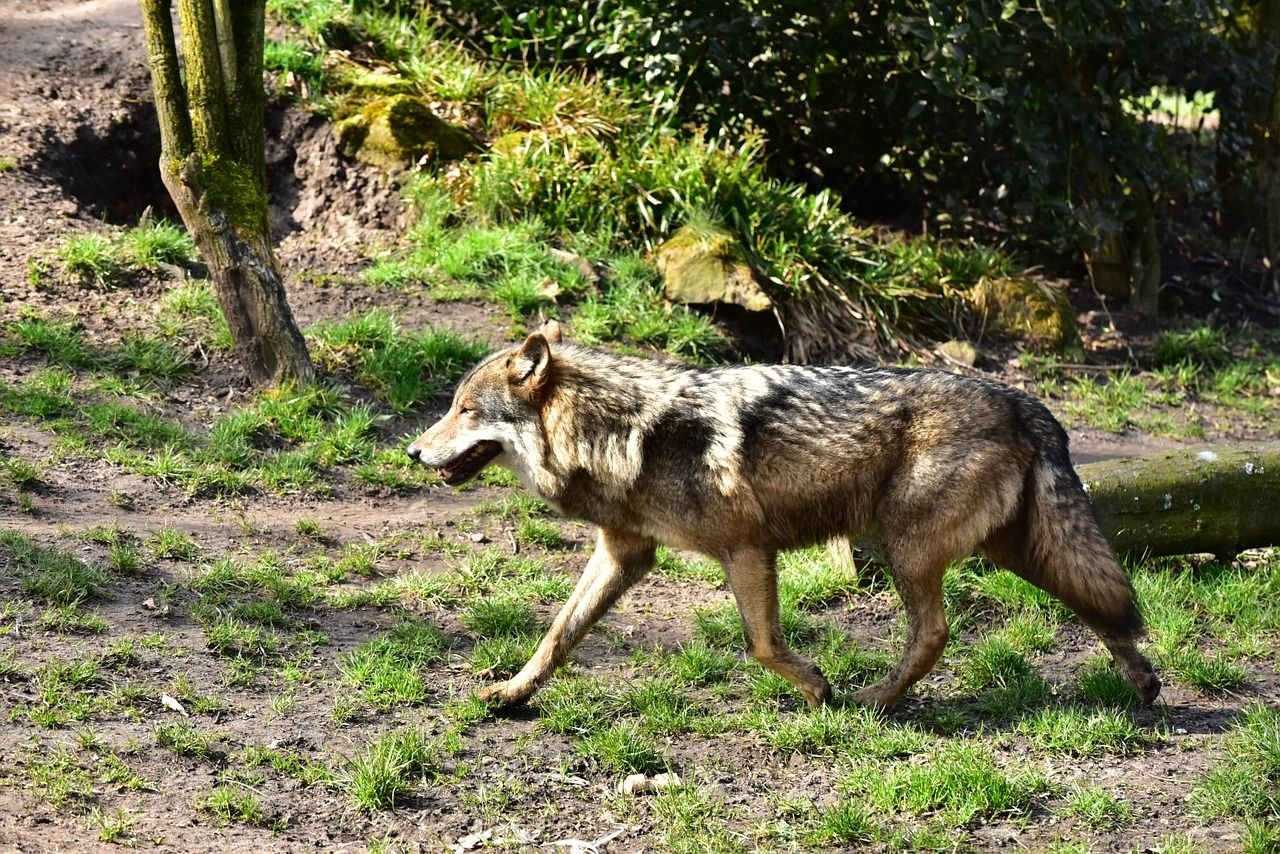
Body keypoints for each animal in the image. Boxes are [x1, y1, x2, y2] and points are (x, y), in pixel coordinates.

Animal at [407, 322, 1160, 711]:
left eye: (464, 410)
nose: (412, 451)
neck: (618, 430)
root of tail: (1027, 404)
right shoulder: (624, 554)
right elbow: (557, 635)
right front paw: (511, 692)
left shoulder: (747, 549)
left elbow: (762, 644)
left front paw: (818, 688)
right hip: (1016, 550)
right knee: (1103, 605)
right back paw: (1144, 683)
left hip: (907, 548)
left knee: (936, 634)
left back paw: (873, 700)